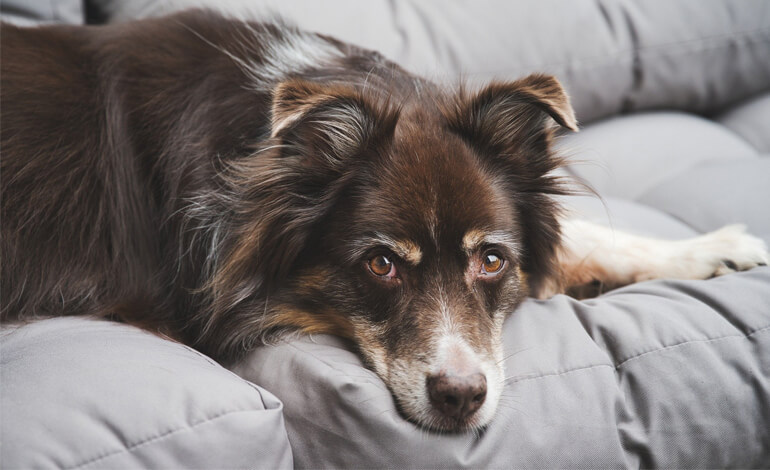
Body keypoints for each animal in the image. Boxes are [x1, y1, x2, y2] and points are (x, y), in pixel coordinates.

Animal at [1, 11, 768, 432]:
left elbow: (578, 236)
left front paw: (711, 250)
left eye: (492, 259)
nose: (461, 399)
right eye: (381, 264)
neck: (261, 151)